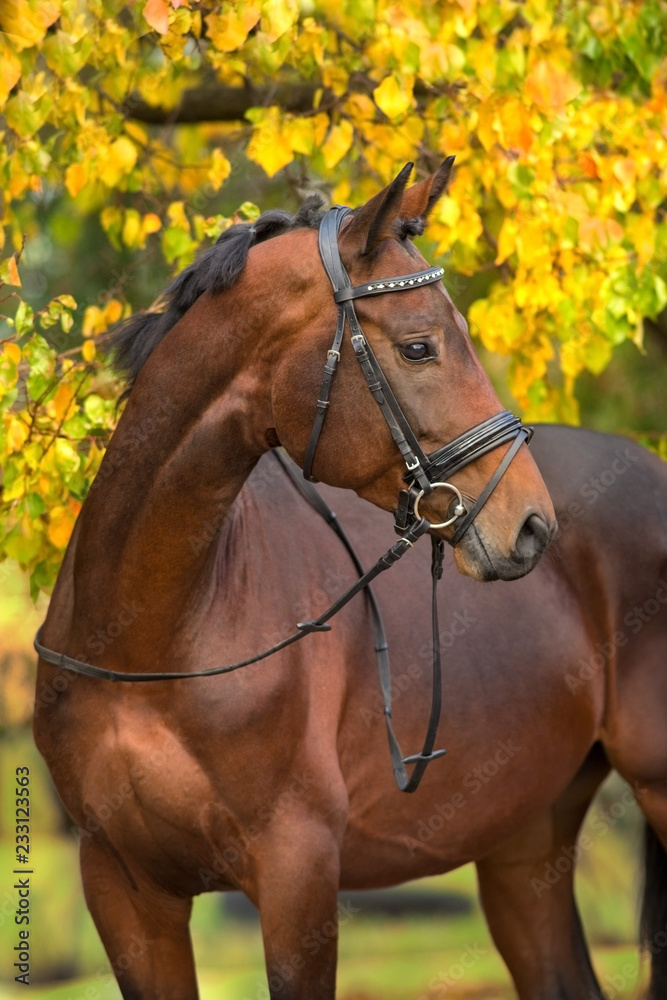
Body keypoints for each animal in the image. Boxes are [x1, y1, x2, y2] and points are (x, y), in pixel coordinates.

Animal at [33, 160, 667, 1000]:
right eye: (420, 346)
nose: (531, 524)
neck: (151, 637)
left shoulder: (297, 877)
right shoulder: (123, 889)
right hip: (524, 841)